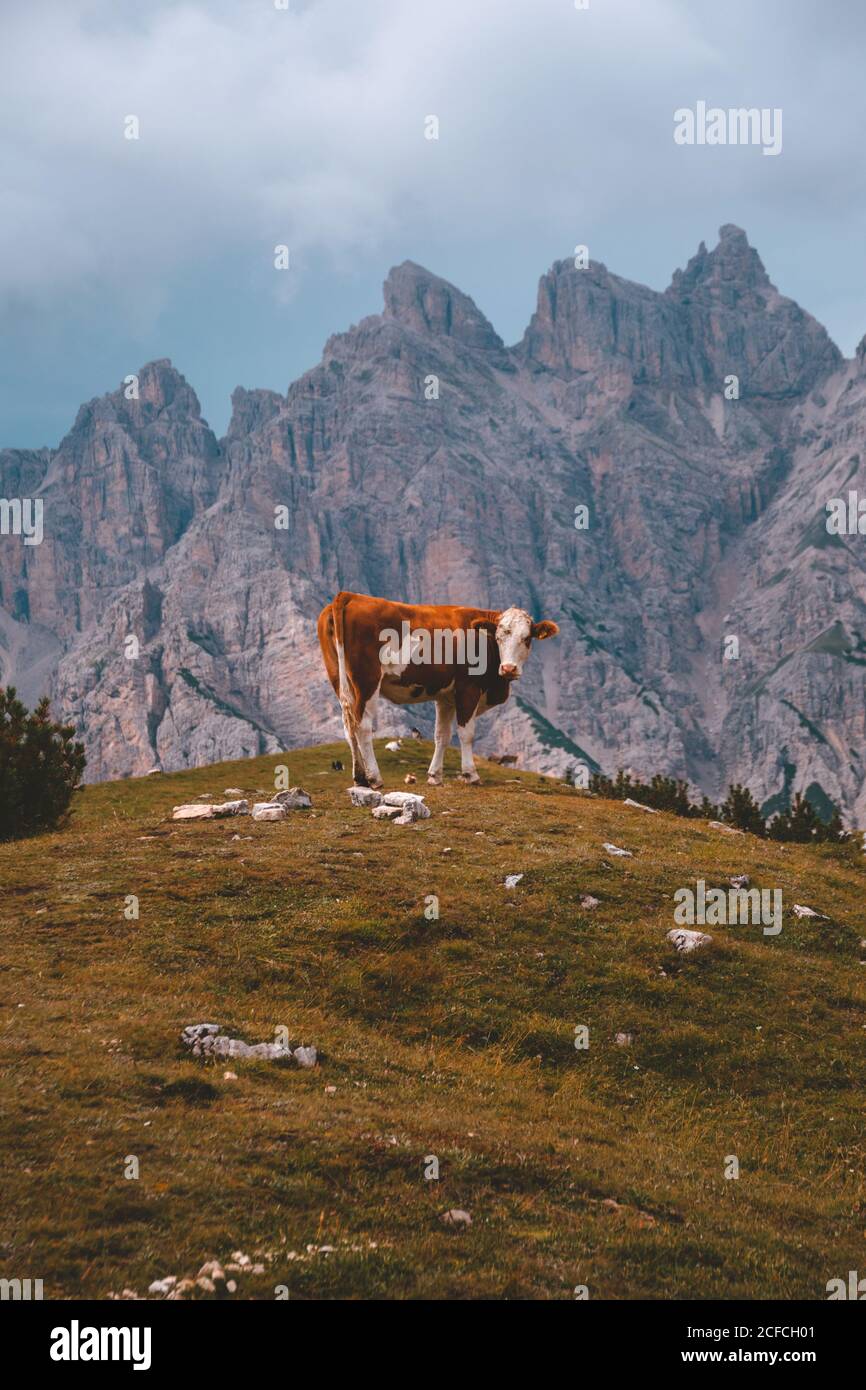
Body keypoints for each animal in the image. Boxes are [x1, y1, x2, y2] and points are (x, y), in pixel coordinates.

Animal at [318, 586, 561, 783]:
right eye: (499, 637)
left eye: (527, 638)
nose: (509, 668)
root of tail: (348, 596)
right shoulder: (468, 689)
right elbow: (466, 733)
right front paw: (471, 774)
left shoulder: (445, 697)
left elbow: (441, 735)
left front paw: (434, 776)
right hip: (367, 681)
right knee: (363, 726)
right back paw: (374, 777)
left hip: (339, 680)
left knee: (348, 725)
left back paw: (359, 776)